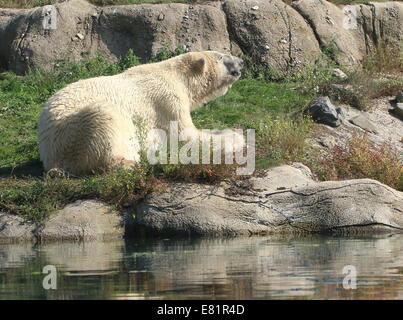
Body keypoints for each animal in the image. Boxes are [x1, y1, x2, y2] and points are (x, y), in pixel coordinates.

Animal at [38, 51, 243, 175]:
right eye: (222, 57)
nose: (241, 61)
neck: (178, 77)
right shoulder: (167, 101)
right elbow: (187, 136)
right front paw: (236, 137)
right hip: (71, 132)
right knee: (104, 120)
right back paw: (130, 162)